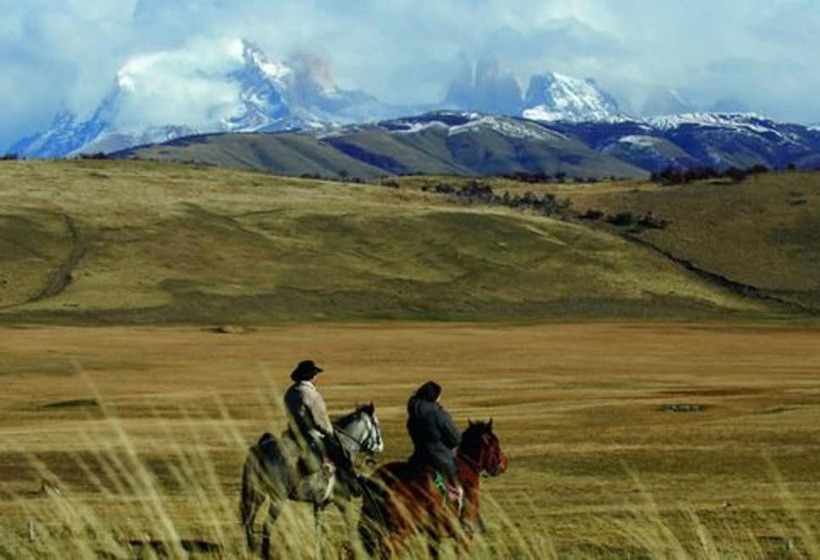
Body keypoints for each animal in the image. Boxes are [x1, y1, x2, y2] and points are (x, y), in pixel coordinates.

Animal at [358, 420, 506, 560]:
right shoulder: (464, 535)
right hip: (398, 532)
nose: (504, 463)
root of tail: (375, 481)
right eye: (495, 442)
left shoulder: (433, 536)